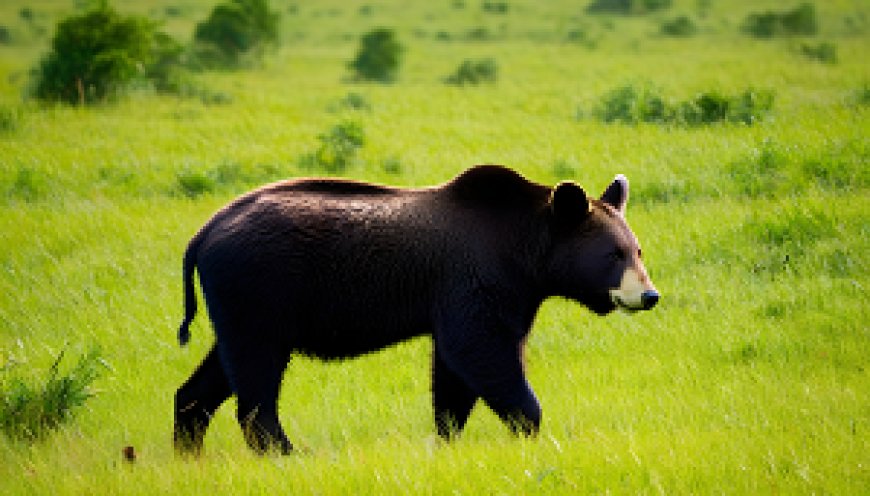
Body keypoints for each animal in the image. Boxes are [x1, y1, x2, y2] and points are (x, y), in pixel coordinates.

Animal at [175, 166, 660, 454]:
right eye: (613, 255)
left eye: (637, 249)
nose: (649, 296)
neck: (522, 251)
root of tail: (204, 233)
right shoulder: (476, 278)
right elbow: (482, 351)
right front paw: (528, 424)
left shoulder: (474, 293)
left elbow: (453, 374)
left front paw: (446, 436)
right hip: (261, 288)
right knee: (256, 371)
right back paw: (284, 449)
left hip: (243, 303)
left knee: (216, 372)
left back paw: (188, 443)